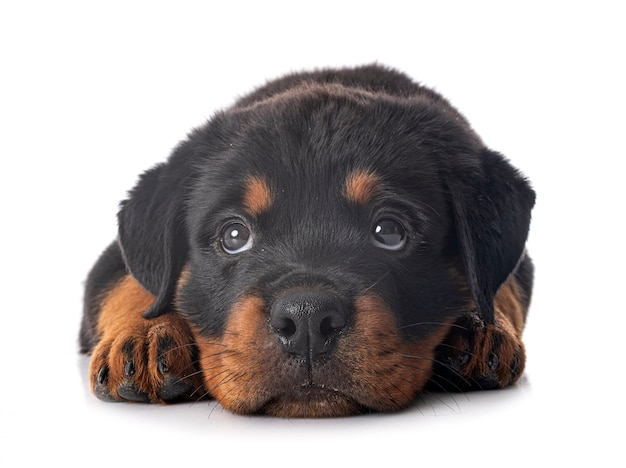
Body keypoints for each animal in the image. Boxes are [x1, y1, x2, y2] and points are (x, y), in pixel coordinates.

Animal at [80, 63, 532, 416]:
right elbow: (130, 285)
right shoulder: (114, 258)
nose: (308, 320)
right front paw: (145, 336)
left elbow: (501, 287)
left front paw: (483, 326)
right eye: (234, 235)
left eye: (389, 231)